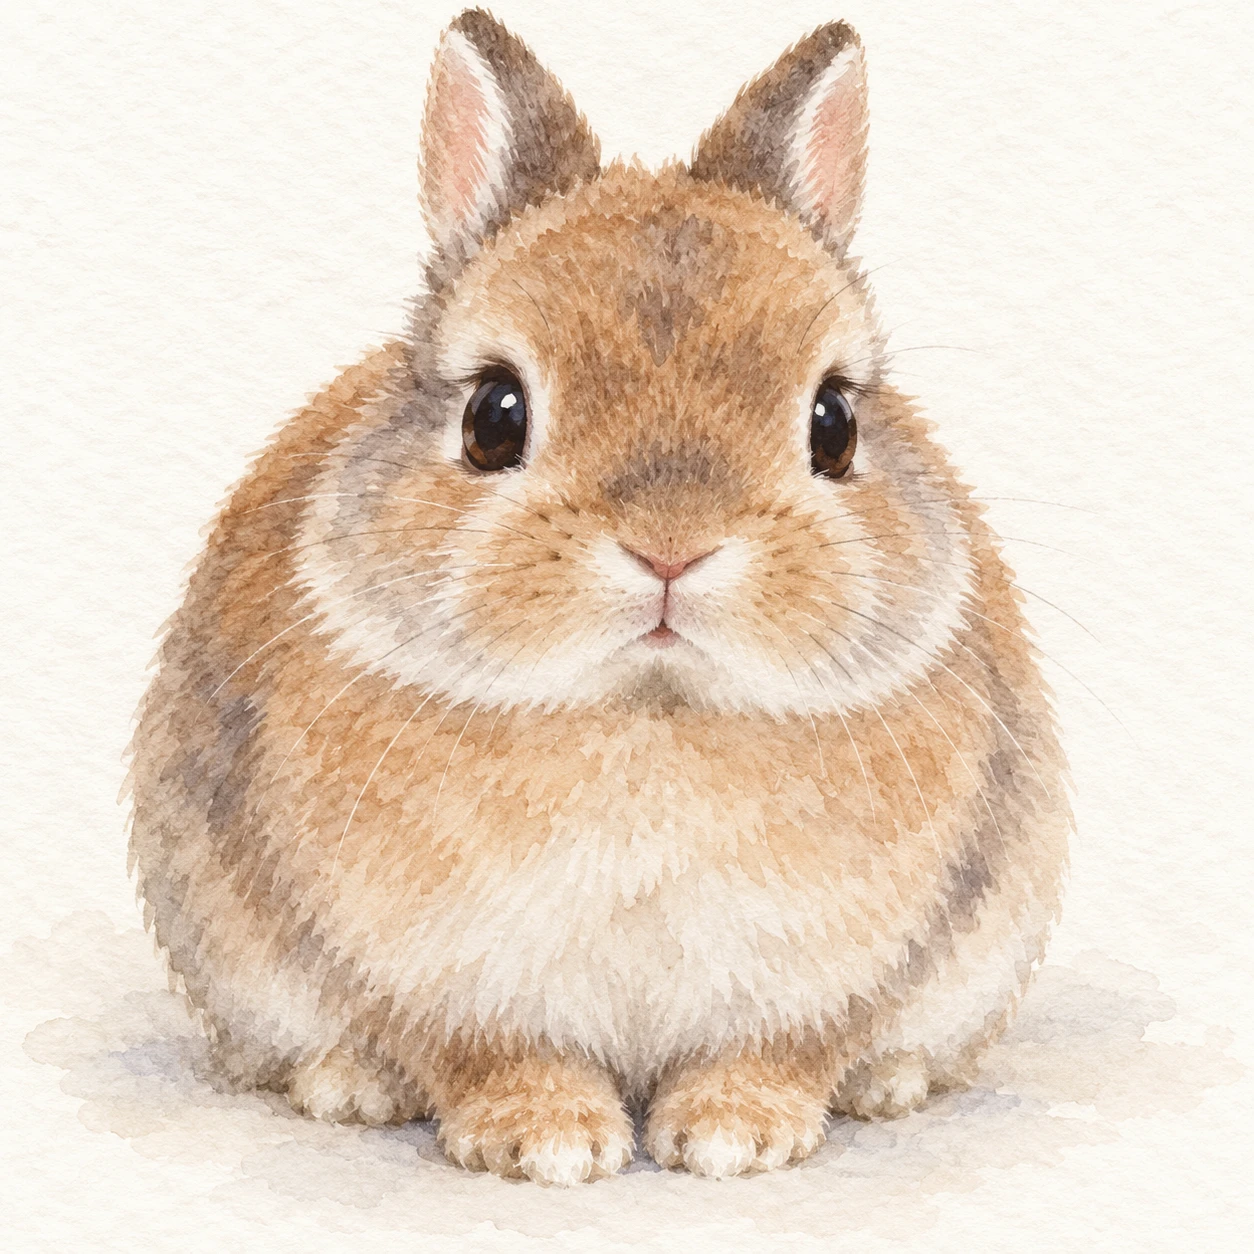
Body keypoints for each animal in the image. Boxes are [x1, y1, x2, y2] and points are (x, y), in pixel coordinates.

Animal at [128, 9, 1070, 1184]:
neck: (645, 710)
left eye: (835, 423)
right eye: (494, 415)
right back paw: (350, 1088)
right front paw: (547, 1141)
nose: (671, 549)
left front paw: (734, 1135)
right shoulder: (439, 979)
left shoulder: (835, 976)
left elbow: (786, 1046)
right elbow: (483, 1050)